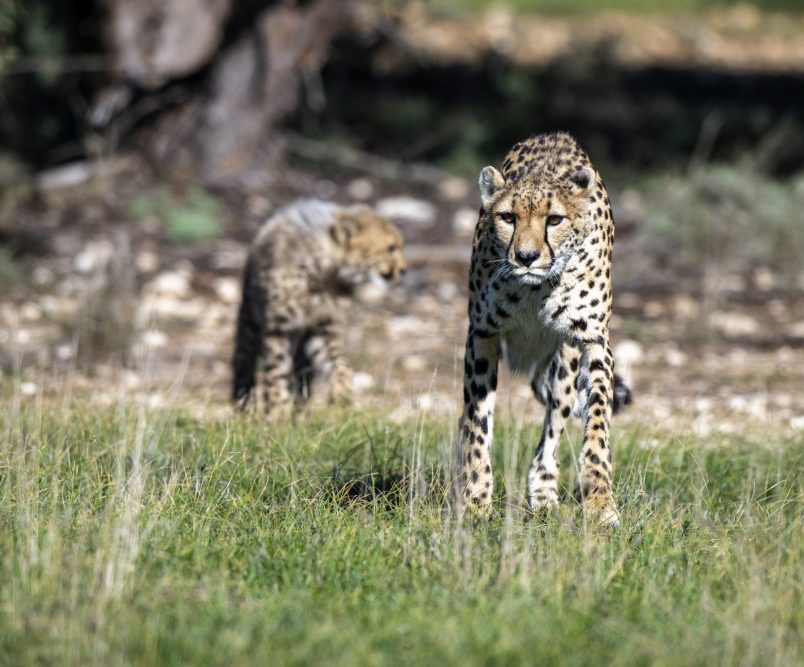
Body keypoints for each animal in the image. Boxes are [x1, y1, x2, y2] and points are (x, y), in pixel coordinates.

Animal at [456, 132, 632, 528]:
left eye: (554, 219)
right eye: (507, 217)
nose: (526, 257)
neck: (534, 290)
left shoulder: (594, 342)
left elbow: (597, 426)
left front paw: (600, 503)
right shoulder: (482, 336)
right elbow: (477, 424)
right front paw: (475, 500)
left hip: (564, 367)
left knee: (551, 435)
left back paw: (544, 495)